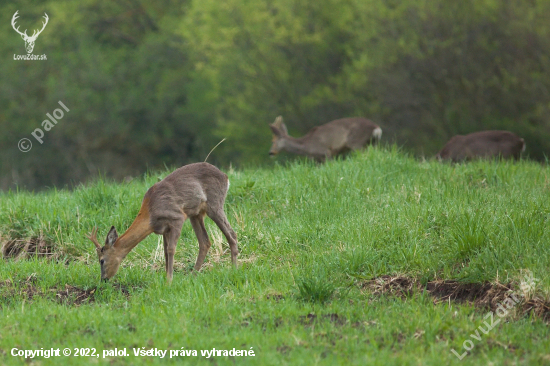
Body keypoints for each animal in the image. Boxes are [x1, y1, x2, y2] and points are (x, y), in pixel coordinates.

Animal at [87, 162, 238, 282]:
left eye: (102, 260)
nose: (103, 279)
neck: (150, 216)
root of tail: (226, 177)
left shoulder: (177, 217)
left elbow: (171, 249)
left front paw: (169, 280)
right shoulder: (165, 229)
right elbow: (165, 251)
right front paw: (167, 276)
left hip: (214, 204)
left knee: (232, 234)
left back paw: (233, 268)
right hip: (196, 214)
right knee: (205, 242)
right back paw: (193, 275)